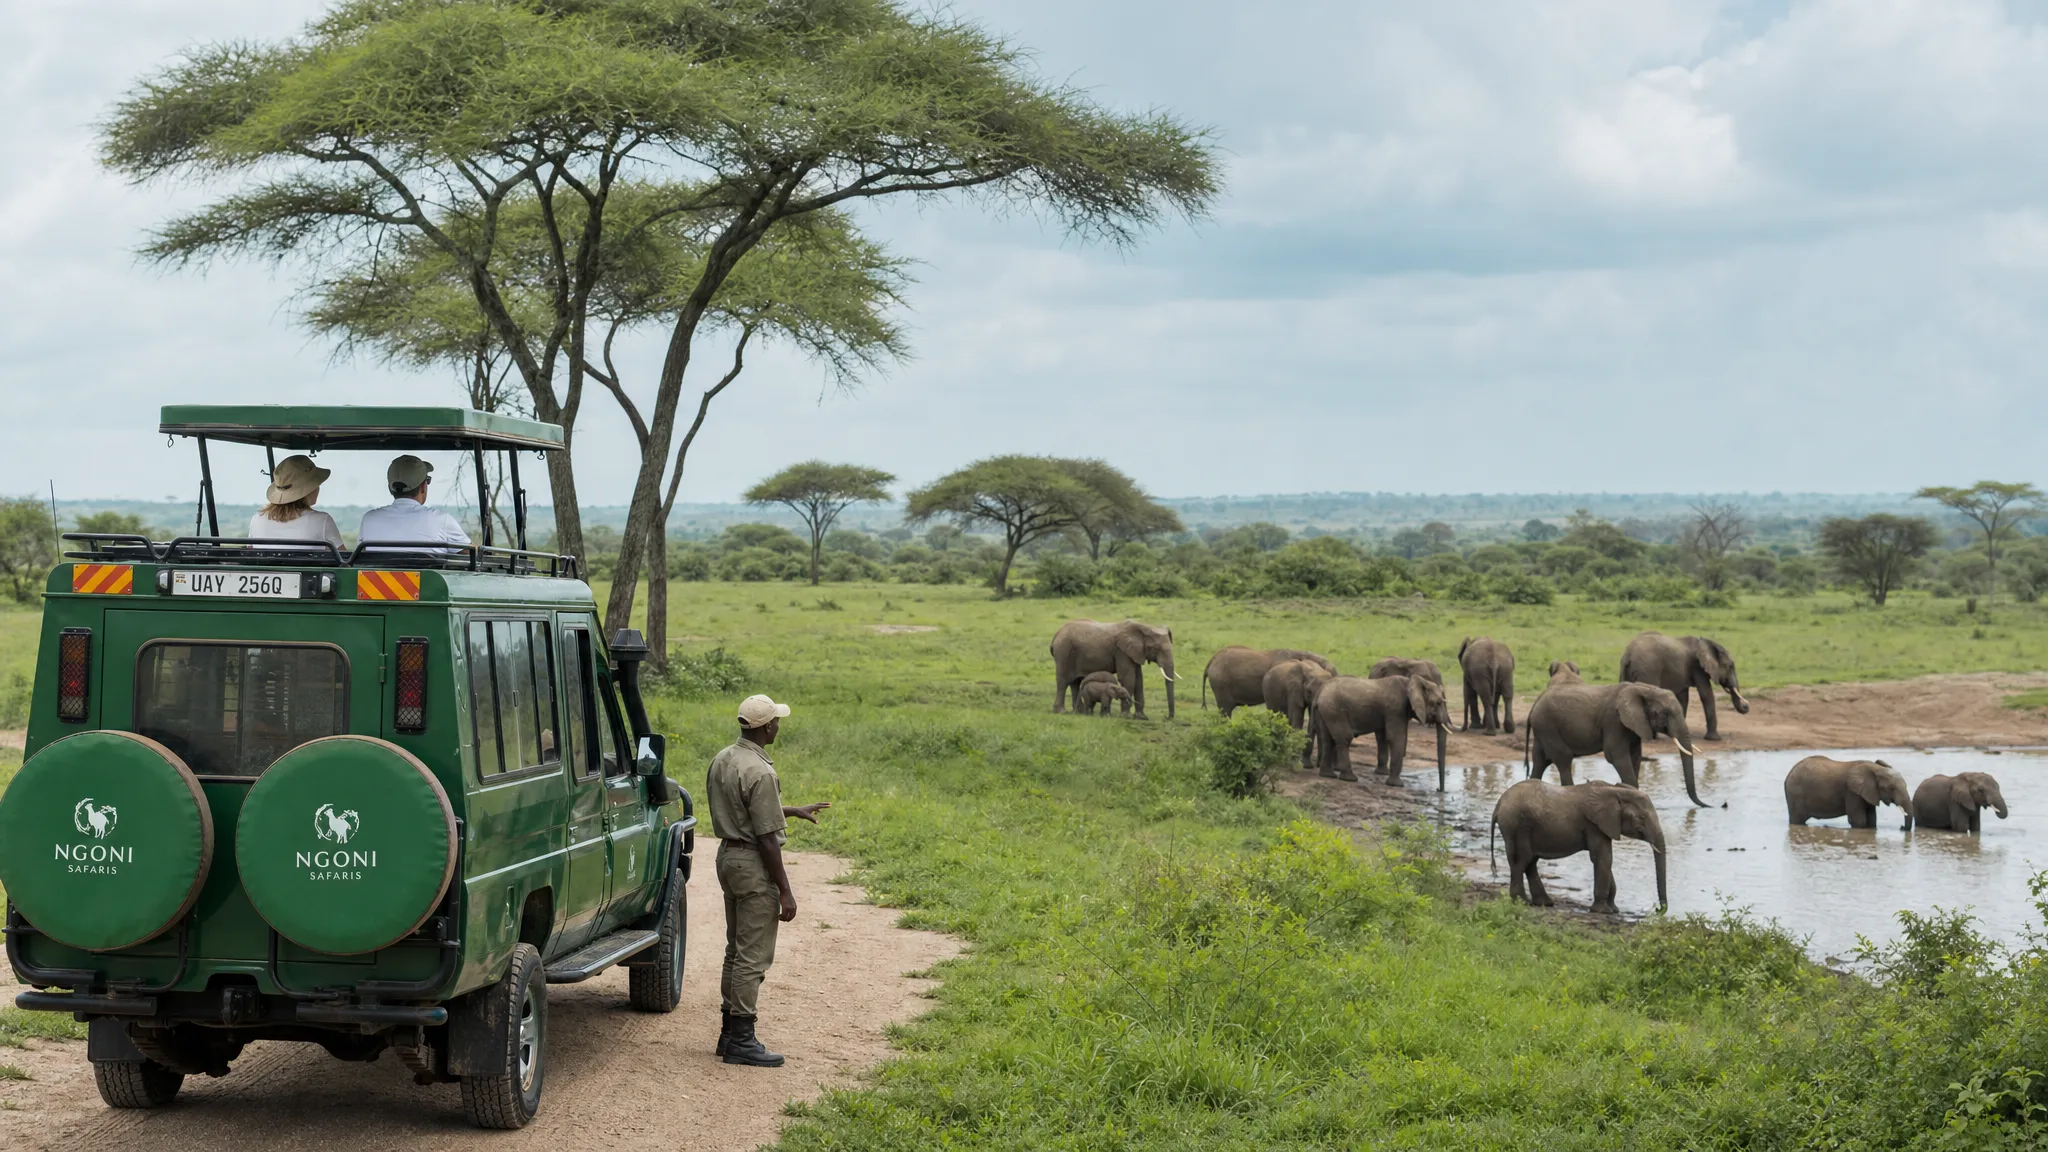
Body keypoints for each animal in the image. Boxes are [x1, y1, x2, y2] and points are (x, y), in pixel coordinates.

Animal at [1308, 674, 1452, 790]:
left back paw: (1328, 775)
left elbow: (1383, 738)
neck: (1411, 682)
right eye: (1438, 703)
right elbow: (1396, 738)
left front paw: (1383, 774)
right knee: (1344, 739)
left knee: (1328, 740)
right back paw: (1350, 778)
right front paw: (1397, 785)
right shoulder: (1395, 709)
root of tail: (1320, 691)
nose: (1438, 790)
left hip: (1326, 711)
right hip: (1335, 711)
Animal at [1491, 779, 1668, 913]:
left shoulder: (1604, 825)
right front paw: (1603, 911)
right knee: (1523, 859)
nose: (1658, 910)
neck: (1614, 790)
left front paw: (1614, 909)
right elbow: (1603, 857)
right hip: (1517, 825)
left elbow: (1604, 858)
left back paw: (1544, 903)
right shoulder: (1594, 825)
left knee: (1530, 861)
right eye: (1642, 817)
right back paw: (1521, 901)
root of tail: (1498, 804)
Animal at [1525, 682, 1708, 807]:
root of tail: (1533, 705)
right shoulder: (1614, 721)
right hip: (1548, 726)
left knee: (1540, 761)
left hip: (1543, 730)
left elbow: (1635, 755)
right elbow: (1616, 755)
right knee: (1563, 759)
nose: (1708, 805)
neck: (1644, 689)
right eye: (1663, 713)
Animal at [1619, 631, 1749, 741]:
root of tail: (1628, 654)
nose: (1746, 706)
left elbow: (1683, 697)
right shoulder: (1697, 667)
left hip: (1625, 670)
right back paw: (1653, 736)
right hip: (1648, 670)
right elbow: (1706, 694)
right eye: (1730, 666)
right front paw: (1715, 739)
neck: (1707, 643)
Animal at [1783, 756, 1912, 830]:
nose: (1901, 827)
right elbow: (1859, 820)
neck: (1875, 768)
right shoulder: (1851, 791)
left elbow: (1871, 819)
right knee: (1798, 820)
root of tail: (1789, 774)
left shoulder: (1868, 792)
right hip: (1796, 794)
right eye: (1891, 788)